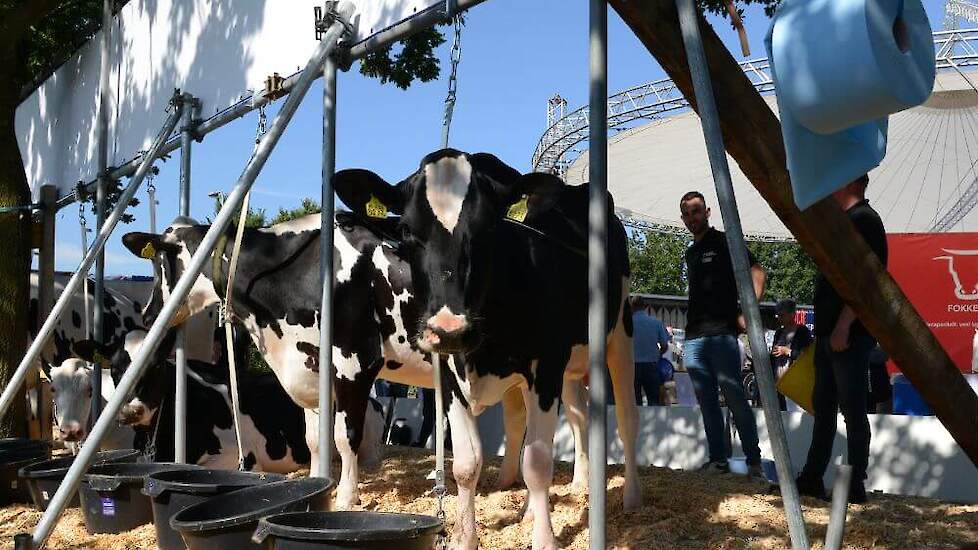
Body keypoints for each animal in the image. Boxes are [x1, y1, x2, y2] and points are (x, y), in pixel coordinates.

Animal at [334, 151, 640, 550]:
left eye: (488, 229)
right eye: (406, 232)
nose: (448, 327)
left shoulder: (546, 369)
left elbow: (537, 463)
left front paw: (545, 540)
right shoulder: (449, 373)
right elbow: (466, 464)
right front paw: (465, 537)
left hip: (620, 333)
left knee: (627, 419)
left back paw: (631, 497)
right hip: (570, 365)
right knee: (574, 417)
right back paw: (561, 490)